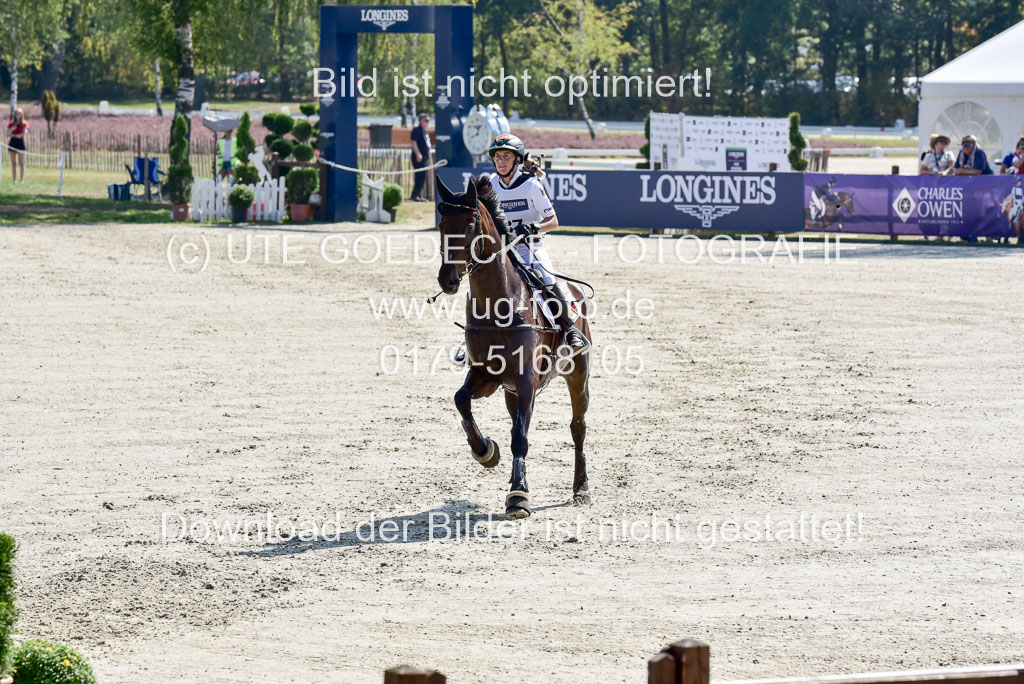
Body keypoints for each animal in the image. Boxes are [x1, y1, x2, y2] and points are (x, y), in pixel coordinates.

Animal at [434, 176, 593, 518]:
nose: (447, 280)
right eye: (441, 224)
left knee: (578, 427)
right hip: (511, 391)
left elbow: (520, 437)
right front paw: (485, 451)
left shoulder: (525, 378)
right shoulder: (488, 376)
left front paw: (518, 496)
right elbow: (461, 401)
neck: (498, 303)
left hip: (577, 375)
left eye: (470, 225)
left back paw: (581, 489)